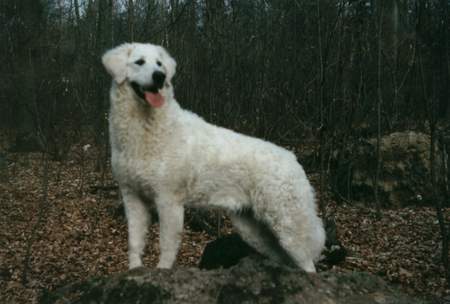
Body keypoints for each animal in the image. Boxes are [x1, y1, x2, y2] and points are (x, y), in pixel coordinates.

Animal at [102, 41, 326, 272]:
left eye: (159, 64)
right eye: (139, 62)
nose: (160, 77)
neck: (145, 127)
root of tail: (294, 160)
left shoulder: (168, 200)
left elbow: (166, 248)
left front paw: (162, 271)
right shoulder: (132, 197)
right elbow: (134, 243)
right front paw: (134, 270)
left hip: (287, 225)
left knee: (308, 265)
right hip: (254, 230)